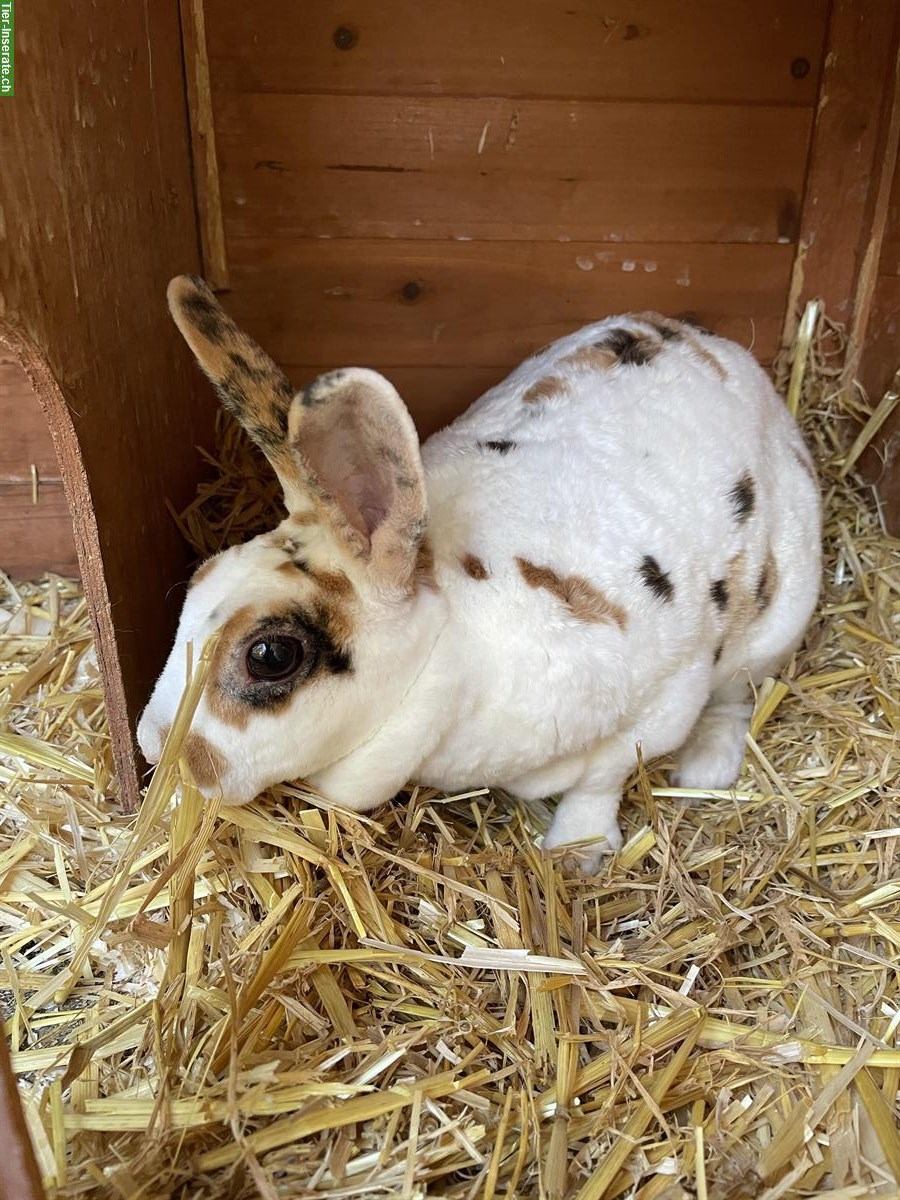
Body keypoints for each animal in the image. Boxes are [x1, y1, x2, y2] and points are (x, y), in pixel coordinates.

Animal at [137, 276, 822, 872]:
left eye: (272, 655)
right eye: (199, 579)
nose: (152, 745)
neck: (450, 639)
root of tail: (732, 355)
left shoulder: (665, 695)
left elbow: (605, 775)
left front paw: (577, 853)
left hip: (774, 626)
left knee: (739, 694)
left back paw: (706, 766)